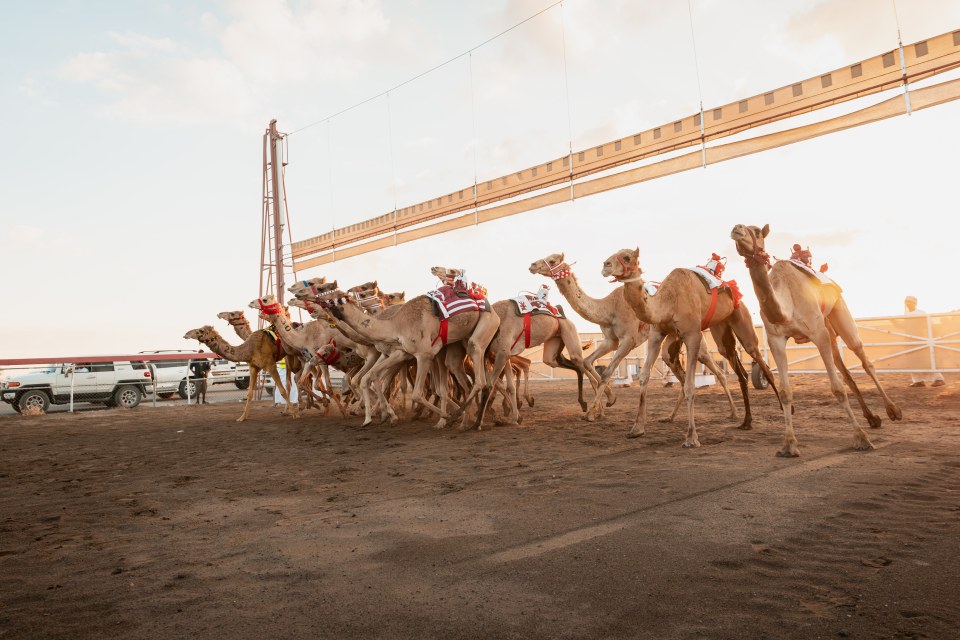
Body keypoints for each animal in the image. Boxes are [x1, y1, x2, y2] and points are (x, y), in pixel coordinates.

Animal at [529, 253, 738, 423]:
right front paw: (604, 405)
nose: (532, 265)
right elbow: (588, 362)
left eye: (552, 260)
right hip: (672, 341)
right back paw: (670, 417)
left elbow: (607, 372)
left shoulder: (629, 339)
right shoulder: (610, 341)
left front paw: (593, 411)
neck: (609, 309)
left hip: (697, 339)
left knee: (718, 372)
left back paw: (733, 413)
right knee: (682, 373)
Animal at [601, 248, 779, 448]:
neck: (669, 301)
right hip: (721, 329)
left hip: (741, 317)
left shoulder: (693, 335)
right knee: (737, 367)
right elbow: (644, 376)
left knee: (759, 360)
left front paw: (691, 438)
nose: (605, 265)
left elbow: (690, 385)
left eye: (626, 257)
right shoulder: (657, 334)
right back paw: (745, 421)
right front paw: (636, 429)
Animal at [730, 223, 902, 456]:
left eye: (756, 231)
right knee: (846, 371)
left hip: (839, 312)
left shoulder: (818, 334)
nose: (736, 229)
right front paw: (788, 445)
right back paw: (872, 418)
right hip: (829, 330)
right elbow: (785, 392)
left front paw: (861, 438)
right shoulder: (776, 339)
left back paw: (893, 410)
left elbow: (837, 388)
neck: (785, 308)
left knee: (864, 360)